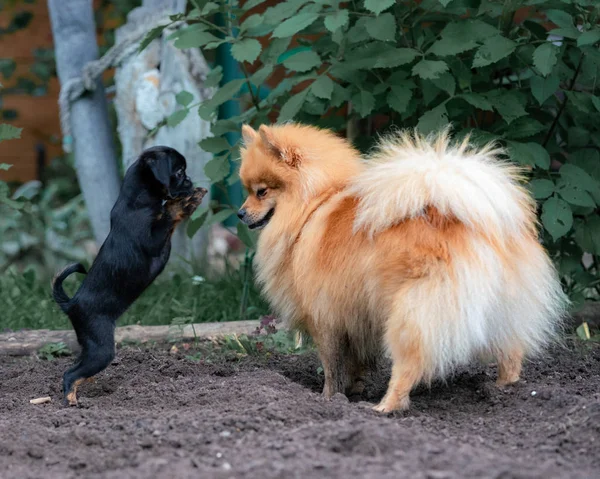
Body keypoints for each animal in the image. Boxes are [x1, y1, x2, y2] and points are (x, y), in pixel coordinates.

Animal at [52, 145, 206, 404]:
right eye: (179, 172)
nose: (190, 180)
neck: (138, 199)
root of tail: (72, 303)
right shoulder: (152, 241)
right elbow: (168, 217)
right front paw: (183, 204)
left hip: (90, 346)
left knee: (76, 366)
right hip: (102, 348)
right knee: (69, 373)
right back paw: (71, 399)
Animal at [237, 123, 564, 412]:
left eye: (261, 191)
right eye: (247, 190)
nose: (240, 213)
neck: (314, 203)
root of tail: (474, 223)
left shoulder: (325, 318)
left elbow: (332, 366)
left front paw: (328, 399)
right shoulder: (354, 318)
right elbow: (354, 363)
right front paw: (352, 389)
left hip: (412, 312)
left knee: (409, 365)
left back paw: (385, 406)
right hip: (501, 309)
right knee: (511, 353)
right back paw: (504, 391)